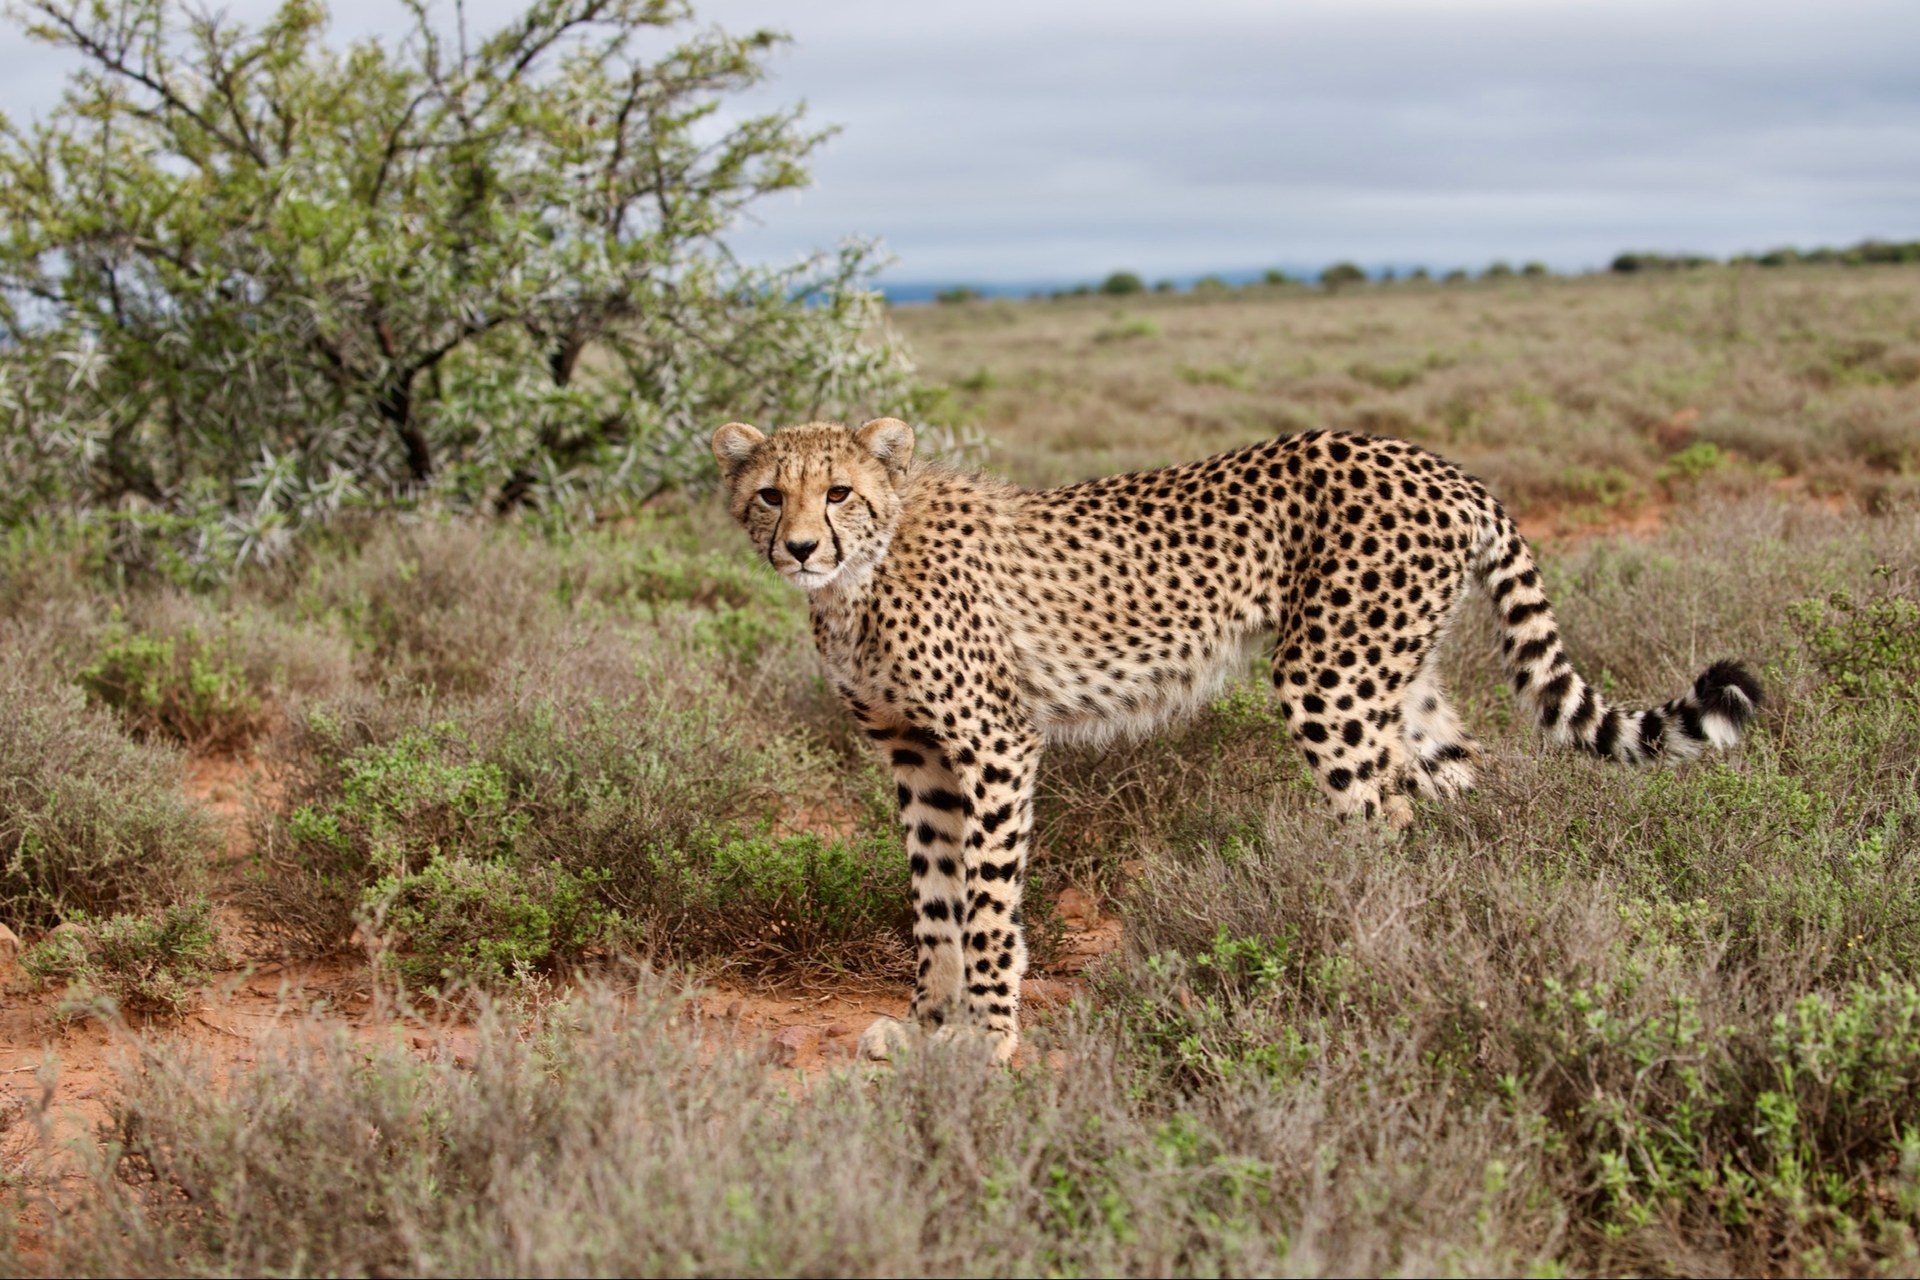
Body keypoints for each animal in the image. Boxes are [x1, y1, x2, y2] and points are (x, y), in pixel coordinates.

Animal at [711, 417, 1762, 1063]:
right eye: (769, 495)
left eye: (838, 492)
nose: (800, 547)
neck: (859, 580)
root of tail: (1432, 460)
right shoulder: (916, 758)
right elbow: (932, 904)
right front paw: (930, 1025)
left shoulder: (998, 746)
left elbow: (985, 906)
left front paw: (989, 1035)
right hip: (1397, 681)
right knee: (1463, 800)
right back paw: (1471, 943)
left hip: (1327, 680)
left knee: (1384, 823)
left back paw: (1366, 976)